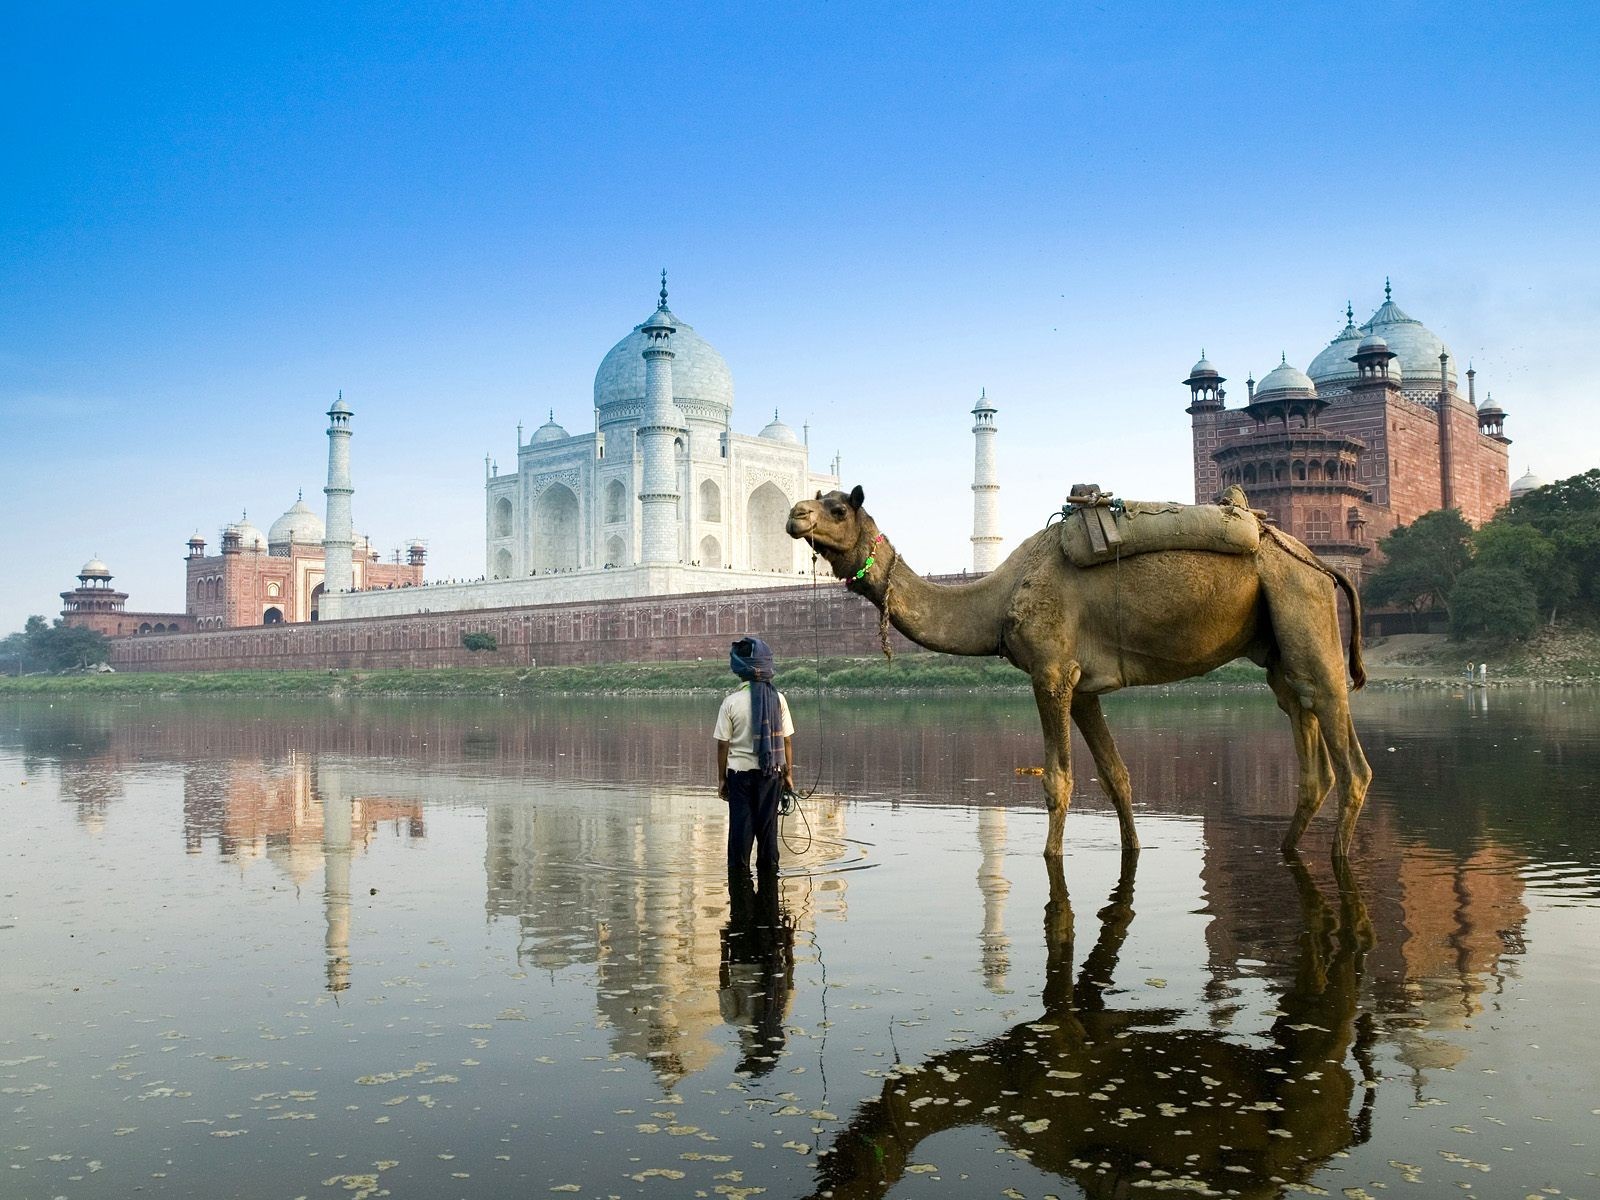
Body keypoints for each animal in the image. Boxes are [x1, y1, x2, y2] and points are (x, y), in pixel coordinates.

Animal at [786, 486, 1372, 858]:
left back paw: (1340, 857)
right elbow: (1116, 776)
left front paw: (1052, 857)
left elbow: (1058, 781)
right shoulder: (1084, 686)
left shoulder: (1050, 670)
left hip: (1302, 604)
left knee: (1349, 754)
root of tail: (1322, 563)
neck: (998, 597)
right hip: (1277, 647)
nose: (795, 514)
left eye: (837, 508)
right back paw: (1287, 849)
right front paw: (1133, 847)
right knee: (1306, 738)